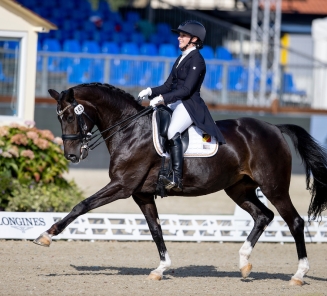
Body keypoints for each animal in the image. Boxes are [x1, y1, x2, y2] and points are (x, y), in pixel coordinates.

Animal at [34, 82, 327, 286]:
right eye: (59, 117)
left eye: (70, 116)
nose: (72, 156)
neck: (129, 130)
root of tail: (274, 128)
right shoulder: (141, 194)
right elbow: (155, 229)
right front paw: (160, 269)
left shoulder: (122, 186)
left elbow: (81, 205)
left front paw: (46, 235)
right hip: (238, 189)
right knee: (263, 215)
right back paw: (244, 263)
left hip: (273, 188)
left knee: (294, 221)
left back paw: (298, 274)